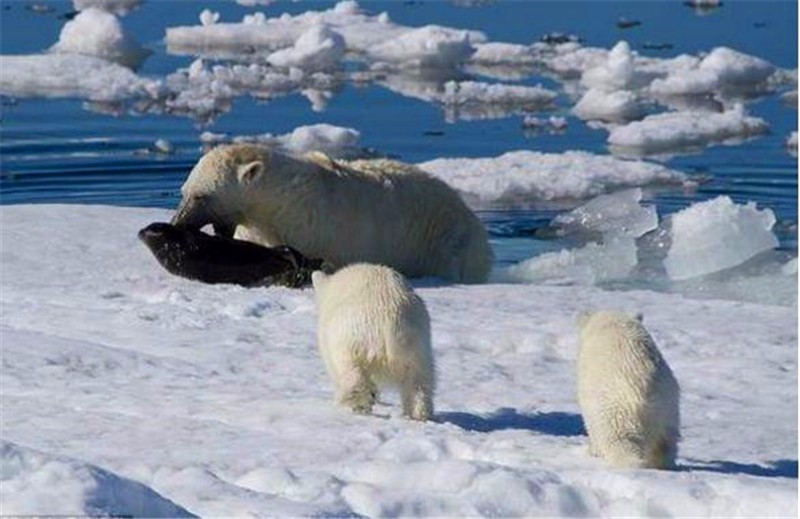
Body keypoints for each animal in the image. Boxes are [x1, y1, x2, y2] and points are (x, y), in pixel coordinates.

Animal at [314, 266, 438, 420]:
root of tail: (389, 317)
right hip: (417, 339)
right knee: (419, 380)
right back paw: (417, 414)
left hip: (353, 334)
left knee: (351, 370)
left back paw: (355, 402)